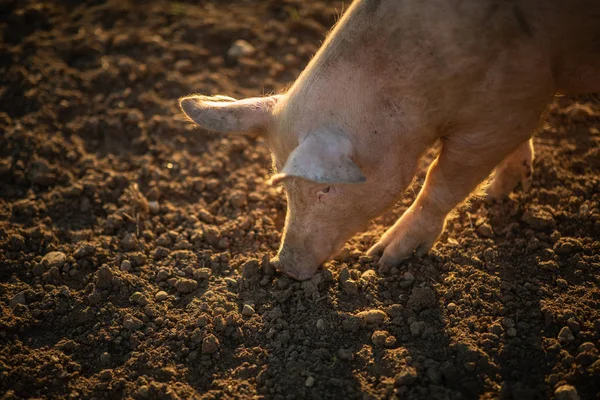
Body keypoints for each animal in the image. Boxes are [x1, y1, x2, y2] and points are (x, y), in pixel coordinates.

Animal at [180, 0, 600, 282]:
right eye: (285, 190)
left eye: (326, 188)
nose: (284, 267)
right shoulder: (523, 105)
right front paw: (499, 193)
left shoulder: (506, 106)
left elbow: (441, 180)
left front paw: (381, 258)